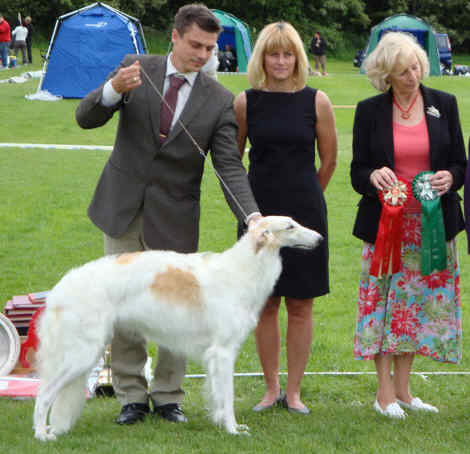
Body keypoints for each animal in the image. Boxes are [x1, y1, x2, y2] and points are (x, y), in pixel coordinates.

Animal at [32, 216, 320, 440]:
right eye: (290, 226)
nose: (320, 238)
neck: (242, 269)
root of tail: (60, 289)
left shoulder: (217, 355)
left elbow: (218, 396)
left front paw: (225, 425)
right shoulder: (223, 351)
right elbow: (227, 397)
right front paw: (233, 430)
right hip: (81, 354)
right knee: (43, 395)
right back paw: (41, 434)